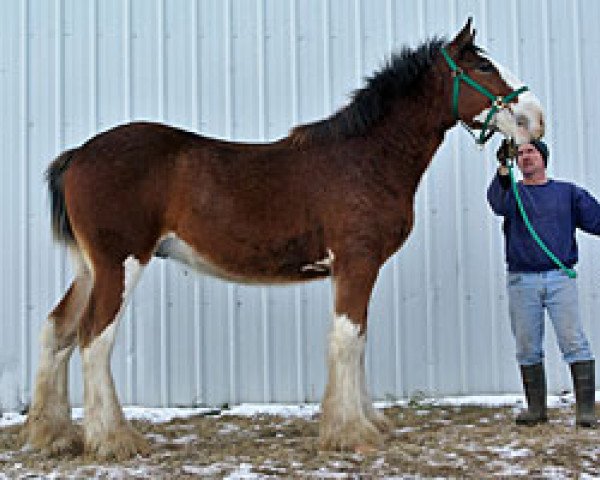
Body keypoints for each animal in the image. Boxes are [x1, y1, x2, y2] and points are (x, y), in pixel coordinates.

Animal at [21, 18, 544, 460]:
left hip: (90, 268)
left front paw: (367, 422)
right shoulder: (357, 262)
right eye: (482, 66)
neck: (365, 158)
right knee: (94, 337)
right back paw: (113, 440)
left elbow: (358, 339)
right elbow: (347, 339)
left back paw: (55, 435)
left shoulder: (350, 270)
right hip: (121, 263)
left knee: (58, 329)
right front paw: (349, 432)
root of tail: (79, 154)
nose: (536, 120)